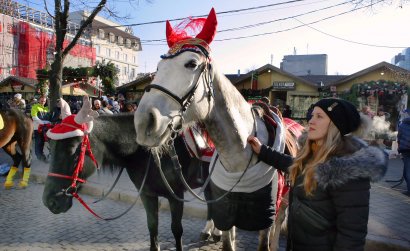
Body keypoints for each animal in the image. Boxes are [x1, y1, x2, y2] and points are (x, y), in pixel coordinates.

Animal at [135, 8, 298, 251]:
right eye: (158, 68)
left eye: (191, 64)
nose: (144, 121)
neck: (240, 154)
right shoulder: (225, 209)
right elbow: (227, 239)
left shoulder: (265, 217)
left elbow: (266, 236)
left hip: (285, 199)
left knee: (279, 221)